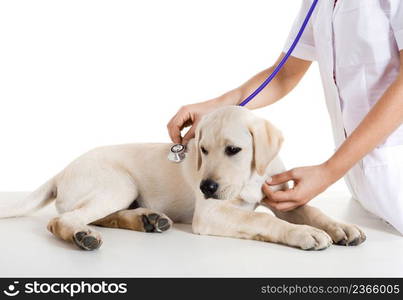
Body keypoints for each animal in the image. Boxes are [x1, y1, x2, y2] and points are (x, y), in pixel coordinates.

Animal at [0, 106, 366, 251]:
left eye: (234, 149)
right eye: (202, 149)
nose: (206, 187)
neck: (247, 179)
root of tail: (61, 171)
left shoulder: (280, 196)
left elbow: (312, 209)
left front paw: (341, 228)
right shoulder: (211, 212)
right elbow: (264, 220)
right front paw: (306, 234)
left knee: (99, 215)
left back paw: (147, 219)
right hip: (119, 183)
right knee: (63, 220)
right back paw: (83, 236)